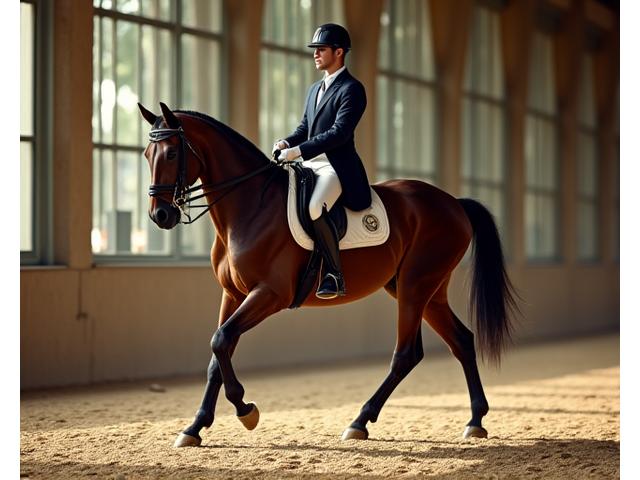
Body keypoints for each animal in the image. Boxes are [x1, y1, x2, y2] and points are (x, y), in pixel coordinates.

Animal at [137, 102, 519, 447]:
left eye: (172, 154)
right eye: (146, 154)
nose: (161, 215)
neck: (250, 207)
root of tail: (454, 203)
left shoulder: (269, 294)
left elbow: (220, 341)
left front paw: (246, 410)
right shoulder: (233, 294)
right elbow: (218, 354)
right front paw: (194, 427)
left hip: (416, 286)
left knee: (407, 354)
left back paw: (360, 422)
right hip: (424, 289)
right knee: (462, 341)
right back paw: (475, 420)